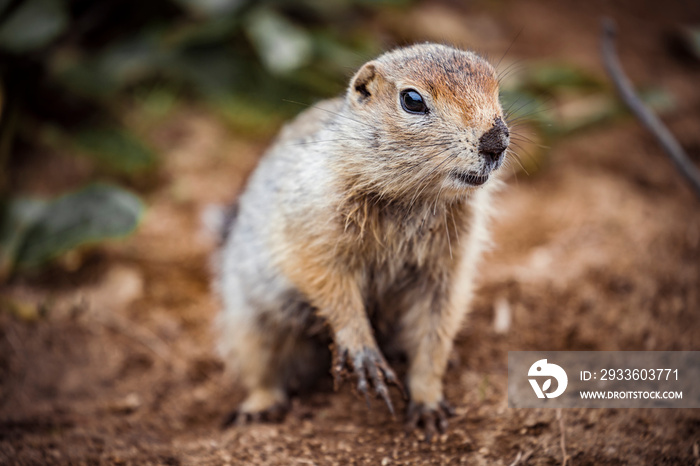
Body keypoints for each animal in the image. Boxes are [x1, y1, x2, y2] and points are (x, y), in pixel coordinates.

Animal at [217, 41, 508, 438]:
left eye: (497, 90)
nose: (498, 141)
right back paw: (259, 407)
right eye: (412, 100)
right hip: (249, 320)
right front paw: (364, 355)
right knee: (262, 370)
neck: (414, 199)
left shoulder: (447, 268)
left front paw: (428, 404)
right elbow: (327, 282)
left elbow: (434, 331)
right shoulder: (311, 224)